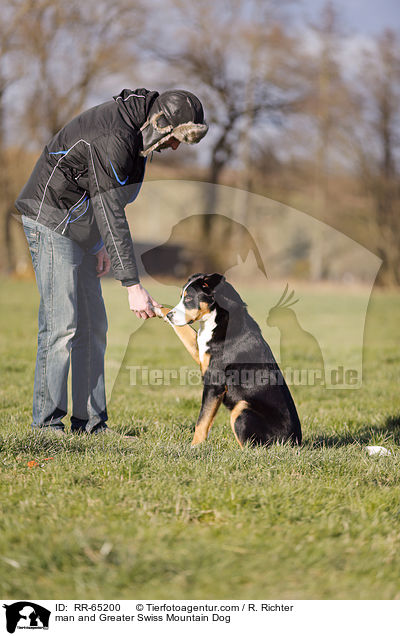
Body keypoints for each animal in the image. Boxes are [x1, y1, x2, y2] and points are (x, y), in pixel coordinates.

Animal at [155, 274, 302, 448]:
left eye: (189, 298)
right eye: (181, 298)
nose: (170, 316)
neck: (216, 319)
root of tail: (295, 442)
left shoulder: (214, 383)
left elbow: (202, 421)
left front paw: (194, 447)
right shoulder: (200, 351)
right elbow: (184, 331)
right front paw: (159, 309)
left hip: (242, 409)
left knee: (251, 447)